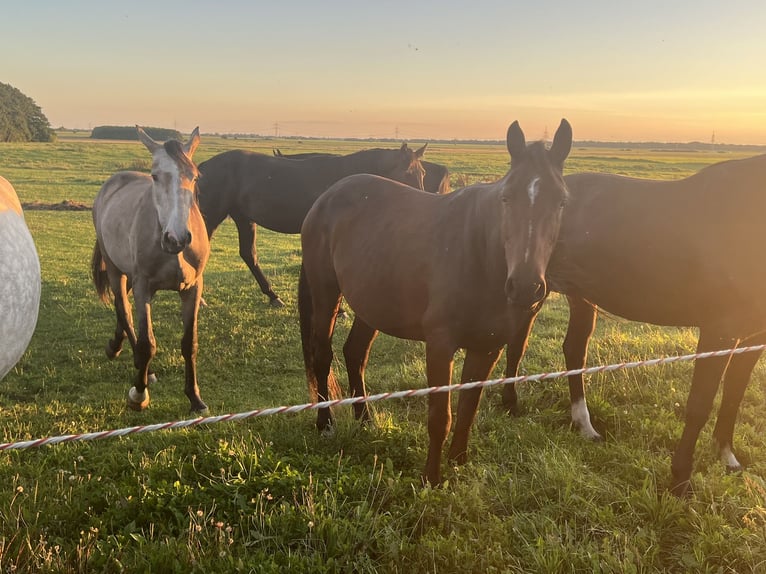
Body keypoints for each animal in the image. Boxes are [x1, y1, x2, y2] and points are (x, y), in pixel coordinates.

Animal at [91, 127, 210, 413]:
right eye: (155, 176)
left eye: (194, 176)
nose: (176, 238)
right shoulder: (143, 285)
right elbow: (147, 344)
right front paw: (138, 393)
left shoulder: (192, 289)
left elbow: (189, 343)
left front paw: (195, 398)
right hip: (116, 271)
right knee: (123, 310)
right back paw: (135, 363)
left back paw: (117, 347)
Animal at [197, 143, 432, 308]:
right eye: (407, 173)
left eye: (423, 173)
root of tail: (203, 167)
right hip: (212, 216)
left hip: (244, 218)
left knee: (249, 254)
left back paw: (273, 296)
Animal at [299, 119, 573, 485]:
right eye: (506, 198)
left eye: (561, 202)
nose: (526, 287)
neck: (481, 254)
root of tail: (327, 197)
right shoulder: (440, 345)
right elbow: (440, 416)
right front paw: (432, 476)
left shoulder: (487, 348)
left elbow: (469, 406)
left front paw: (458, 460)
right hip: (326, 293)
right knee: (322, 354)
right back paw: (326, 422)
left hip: (371, 305)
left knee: (355, 352)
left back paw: (365, 418)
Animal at [501, 153, 766, 496]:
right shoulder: (717, 333)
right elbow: (699, 404)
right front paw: (680, 479)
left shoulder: (752, 339)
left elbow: (734, 396)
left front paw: (728, 459)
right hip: (531, 291)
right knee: (517, 344)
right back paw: (511, 403)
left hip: (580, 297)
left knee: (574, 350)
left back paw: (584, 424)